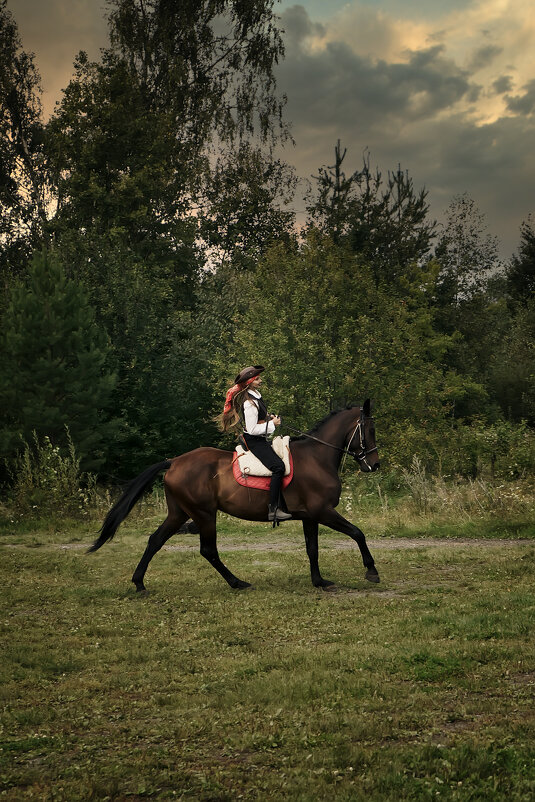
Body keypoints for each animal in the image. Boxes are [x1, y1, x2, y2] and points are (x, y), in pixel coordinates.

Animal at [89, 398, 382, 592]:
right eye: (370, 430)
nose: (375, 465)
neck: (317, 457)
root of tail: (173, 462)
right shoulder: (323, 511)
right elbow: (357, 533)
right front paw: (371, 571)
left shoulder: (310, 516)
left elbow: (313, 548)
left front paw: (319, 581)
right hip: (204, 514)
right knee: (208, 550)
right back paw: (237, 582)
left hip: (179, 513)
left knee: (155, 540)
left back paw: (139, 583)